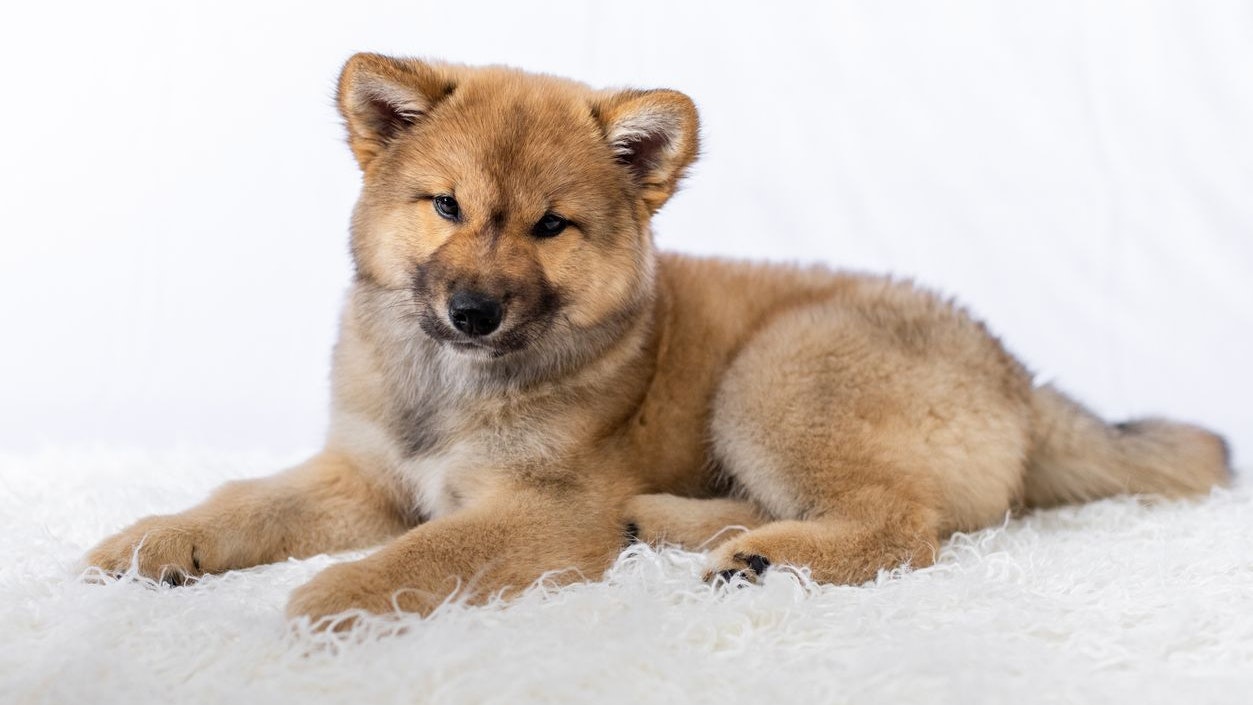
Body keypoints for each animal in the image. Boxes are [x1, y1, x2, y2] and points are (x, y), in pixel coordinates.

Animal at [86, 53, 1232, 626]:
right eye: (446, 206)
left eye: (550, 226)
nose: (472, 312)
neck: (448, 384)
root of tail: (1017, 373)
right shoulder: (362, 476)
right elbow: (245, 501)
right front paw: (153, 543)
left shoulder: (537, 512)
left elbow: (427, 551)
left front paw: (338, 597)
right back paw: (679, 525)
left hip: (778, 372)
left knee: (901, 525)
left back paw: (760, 558)